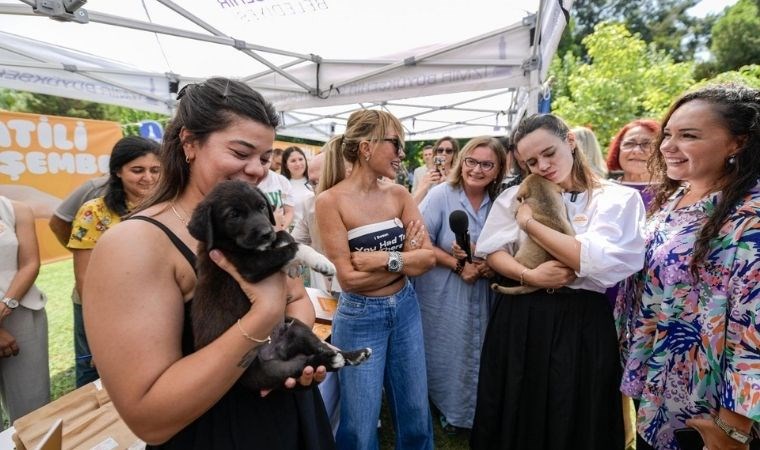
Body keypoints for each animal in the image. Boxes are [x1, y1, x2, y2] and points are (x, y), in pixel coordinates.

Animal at [187, 179, 372, 390]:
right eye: (233, 214)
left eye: (261, 206)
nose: (267, 233)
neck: (228, 243)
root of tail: (278, 351)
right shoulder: (249, 265)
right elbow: (295, 247)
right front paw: (321, 262)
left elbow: (284, 234)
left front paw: (291, 259)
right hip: (269, 372)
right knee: (304, 364)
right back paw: (332, 360)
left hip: (295, 326)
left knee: (318, 348)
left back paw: (354, 354)